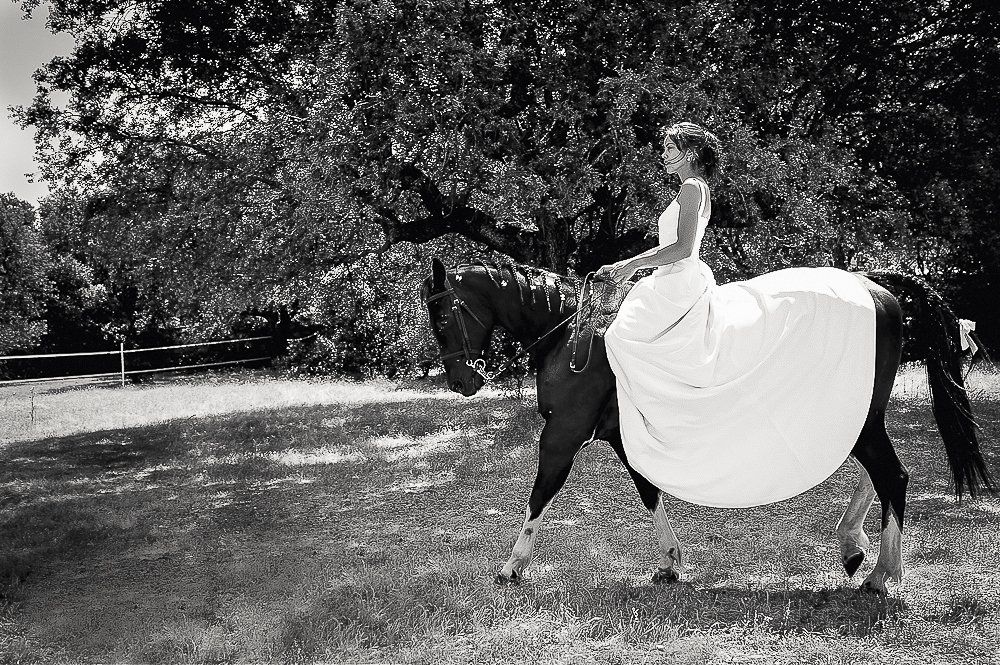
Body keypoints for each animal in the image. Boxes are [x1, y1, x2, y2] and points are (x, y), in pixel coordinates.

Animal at [420, 255, 992, 592]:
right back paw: (855, 546)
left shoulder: (562, 436)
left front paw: (512, 565)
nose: (460, 380)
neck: (572, 333)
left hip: (861, 421)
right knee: (881, 474)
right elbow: (649, 492)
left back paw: (879, 572)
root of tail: (875, 287)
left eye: (443, 316)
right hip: (859, 418)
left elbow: (540, 496)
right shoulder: (623, 438)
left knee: (894, 475)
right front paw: (670, 562)